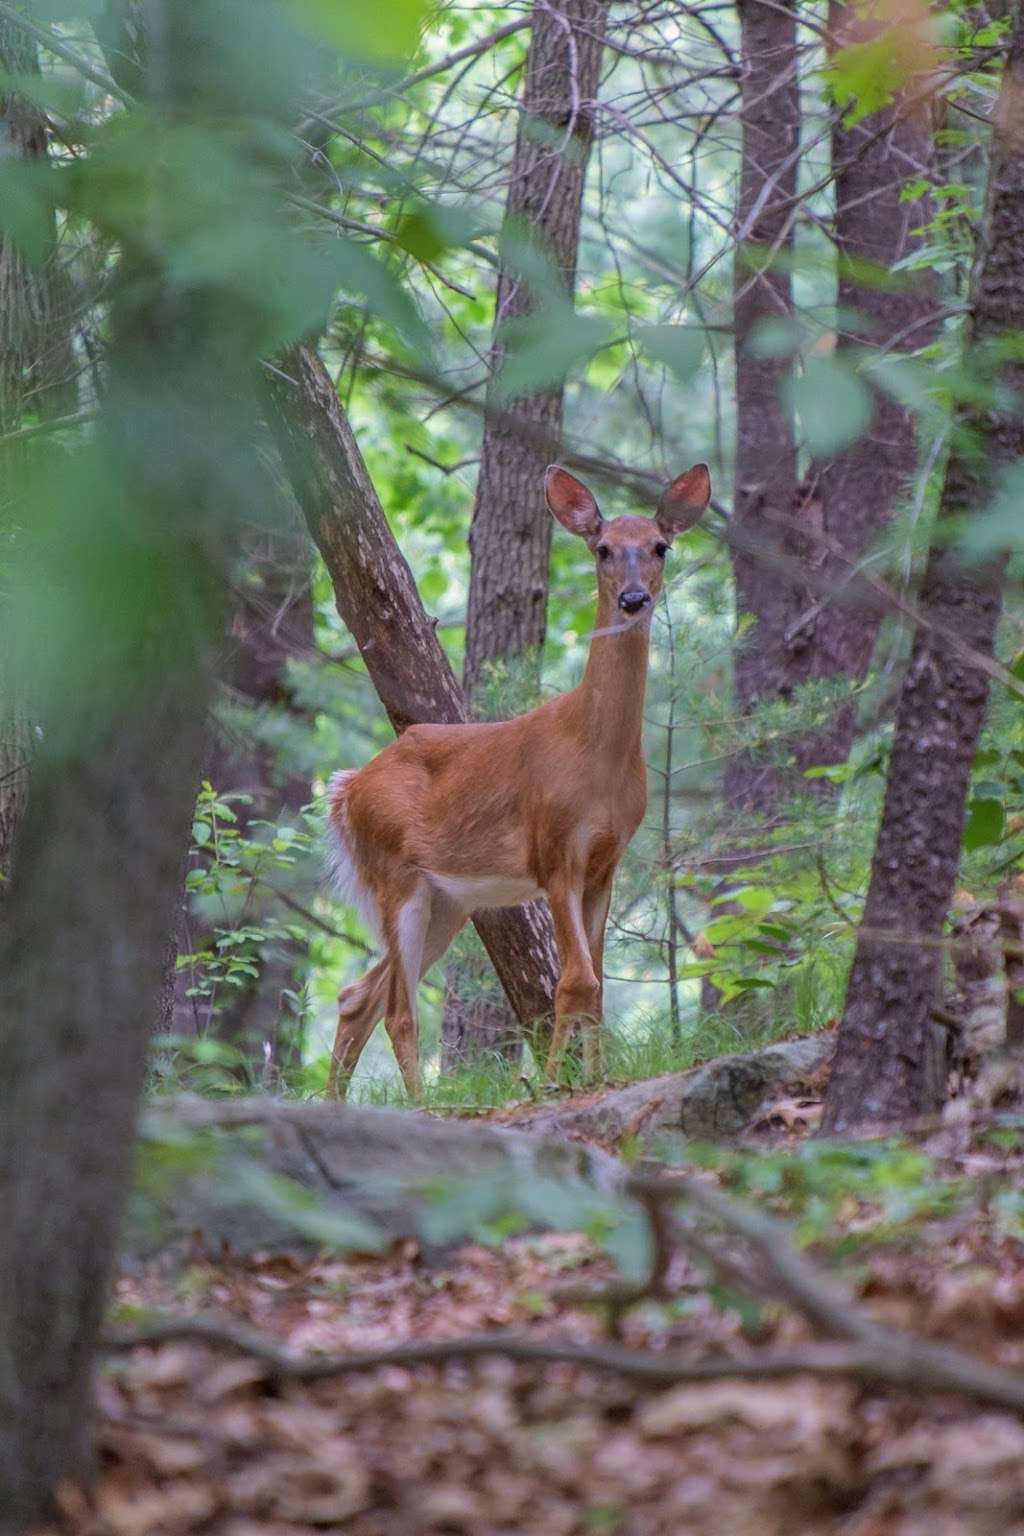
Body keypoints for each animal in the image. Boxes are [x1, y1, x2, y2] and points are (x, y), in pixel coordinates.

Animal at [328, 460, 712, 1099]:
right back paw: (421, 1105)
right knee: (397, 1010)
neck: (597, 756)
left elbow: (597, 984)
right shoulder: (555, 850)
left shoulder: (606, 862)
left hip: (448, 899)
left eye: (661, 546)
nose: (634, 598)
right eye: (603, 549)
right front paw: (555, 1085)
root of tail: (345, 790)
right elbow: (575, 981)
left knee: (358, 994)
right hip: (395, 876)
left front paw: (594, 1078)